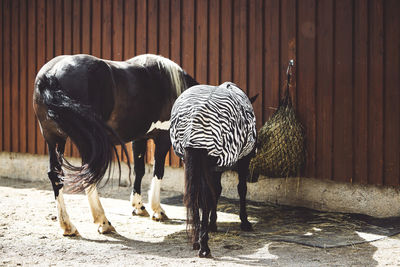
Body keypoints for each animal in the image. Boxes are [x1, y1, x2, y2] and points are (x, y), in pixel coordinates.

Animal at [33, 53, 198, 236]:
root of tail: (51, 75)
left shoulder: (140, 138)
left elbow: (139, 170)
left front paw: (138, 206)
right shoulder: (163, 137)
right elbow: (158, 171)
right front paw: (158, 210)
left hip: (54, 139)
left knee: (56, 175)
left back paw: (67, 225)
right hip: (86, 141)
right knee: (88, 174)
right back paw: (103, 222)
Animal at [170, 81, 258, 258]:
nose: (256, 151)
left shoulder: (216, 166)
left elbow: (216, 191)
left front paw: (213, 223)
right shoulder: (241, 161)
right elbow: (241, 189)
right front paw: (244, 221)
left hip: (190, 160)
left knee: (195, 196)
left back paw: (197, 240)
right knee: (203, 197)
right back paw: (204, 246)